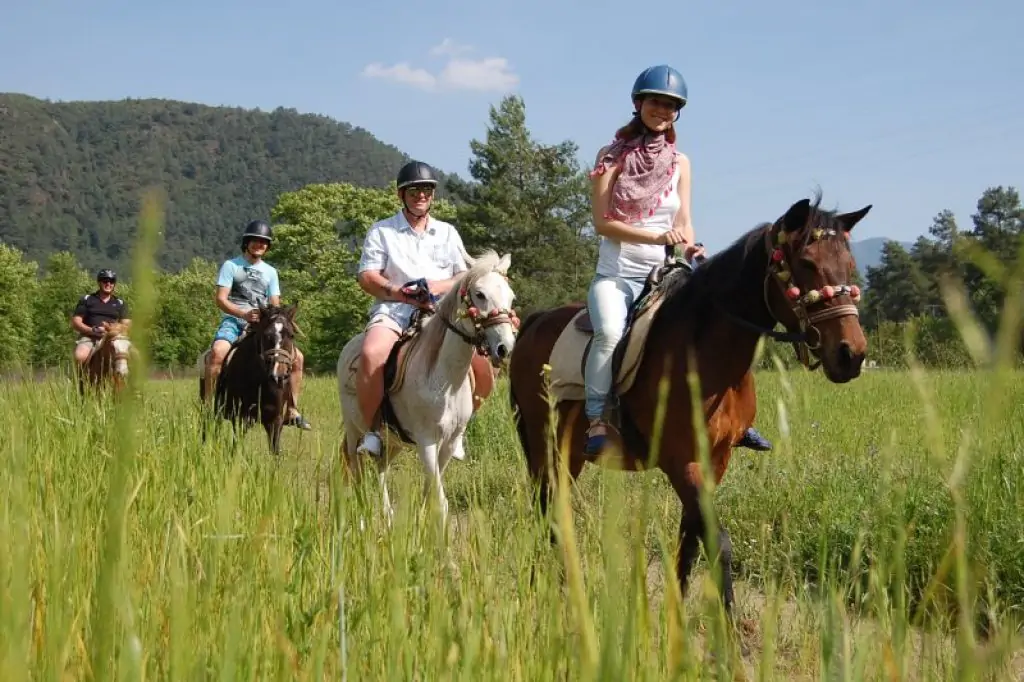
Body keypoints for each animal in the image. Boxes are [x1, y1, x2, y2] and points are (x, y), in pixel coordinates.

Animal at [197, 301, 299, 450]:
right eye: (266, 335)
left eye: (291, 335)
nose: (278, 376)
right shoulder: (240, 418)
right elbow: (235, 448)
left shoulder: (275, 420)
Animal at [335, 249, 516, 524]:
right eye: (480, 294)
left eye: (511, 296)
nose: (505, 347)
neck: (444, 381)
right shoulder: (427, 441)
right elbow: (440, 501)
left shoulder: (448, 443)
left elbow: (430, 492)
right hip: (355, 430)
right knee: (356, 472)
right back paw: (363, 519)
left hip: (393, 441)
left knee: (381, 469)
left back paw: (387, 517)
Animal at [509, 195, 872, 614]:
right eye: (807, 263)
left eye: (848, 265)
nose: (851, 354)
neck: (705, 353)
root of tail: (535, 322)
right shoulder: (682, 462)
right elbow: (718, 542)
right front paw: (727, 625)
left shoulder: (716, 460)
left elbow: (690, 542)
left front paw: (676, 615)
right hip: (544, 444)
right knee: (546, 507)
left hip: (569, 452)